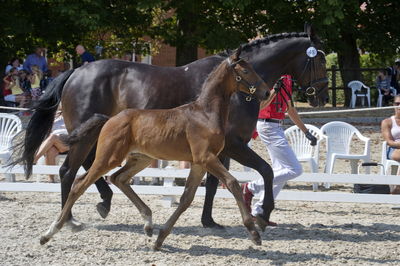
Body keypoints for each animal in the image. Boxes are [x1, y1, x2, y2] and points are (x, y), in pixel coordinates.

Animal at [40, 46, 270, 249]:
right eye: (245, 70)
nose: (267, 92)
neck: (205, 113)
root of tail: (109, 119)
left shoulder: (200, 162)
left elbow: (186, 199)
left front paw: (161, 238)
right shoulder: (207, 157)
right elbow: (232, 183)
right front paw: (254, 231)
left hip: (140, 158)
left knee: (118, 178)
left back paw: (148, 223)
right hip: (109, 157)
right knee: (79, 182)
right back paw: (52, 231)